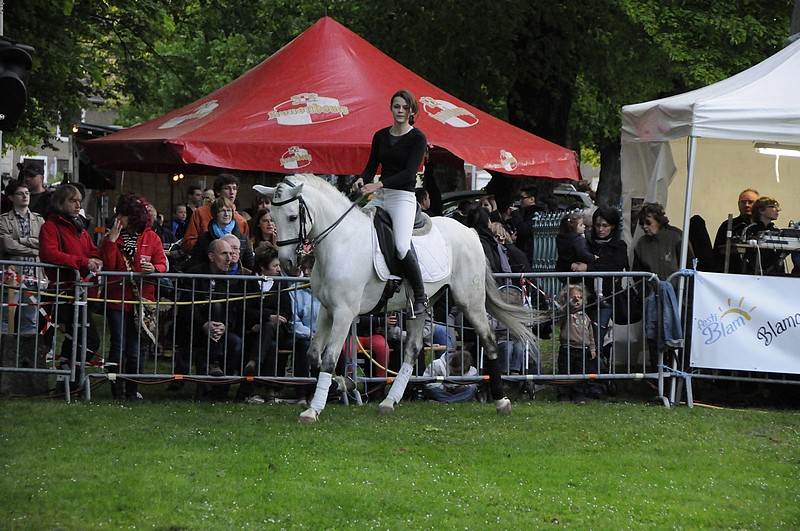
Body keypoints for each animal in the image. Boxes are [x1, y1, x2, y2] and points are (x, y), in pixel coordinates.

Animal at [255, 174, 538, 424]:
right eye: (273, 218)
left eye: (292, 217)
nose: (287, 263)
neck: (340, 242)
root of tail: (469, 231)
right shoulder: (327, 309)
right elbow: (314, 355)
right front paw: (344, 383)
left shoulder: (344, 313)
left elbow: (328, 358)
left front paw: (313, 410)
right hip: (425, 304)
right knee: (412, 350)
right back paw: (389, 402)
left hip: (469, 300)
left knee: (488, 340)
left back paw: (501, 402)